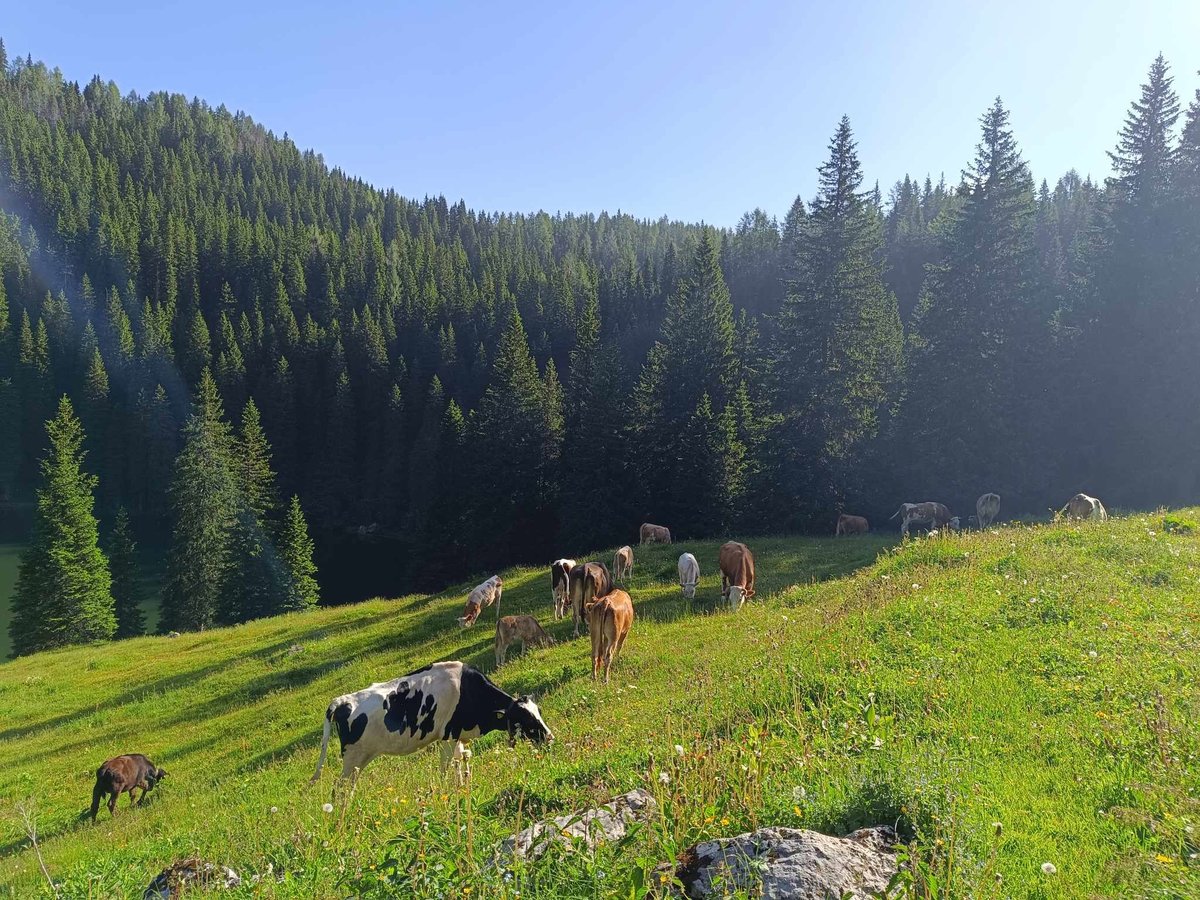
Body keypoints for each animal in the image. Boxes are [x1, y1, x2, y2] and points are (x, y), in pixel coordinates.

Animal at [311, 661, 553, 786]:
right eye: (526, 719)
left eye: (539, 712)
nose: (550, 738)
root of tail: (340, 701)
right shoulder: (447, 735)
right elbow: (446, 768)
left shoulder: (459, 736)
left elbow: (461, 763)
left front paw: (463, 786)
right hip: (352, 757)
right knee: (339, 789)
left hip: (359, 760)